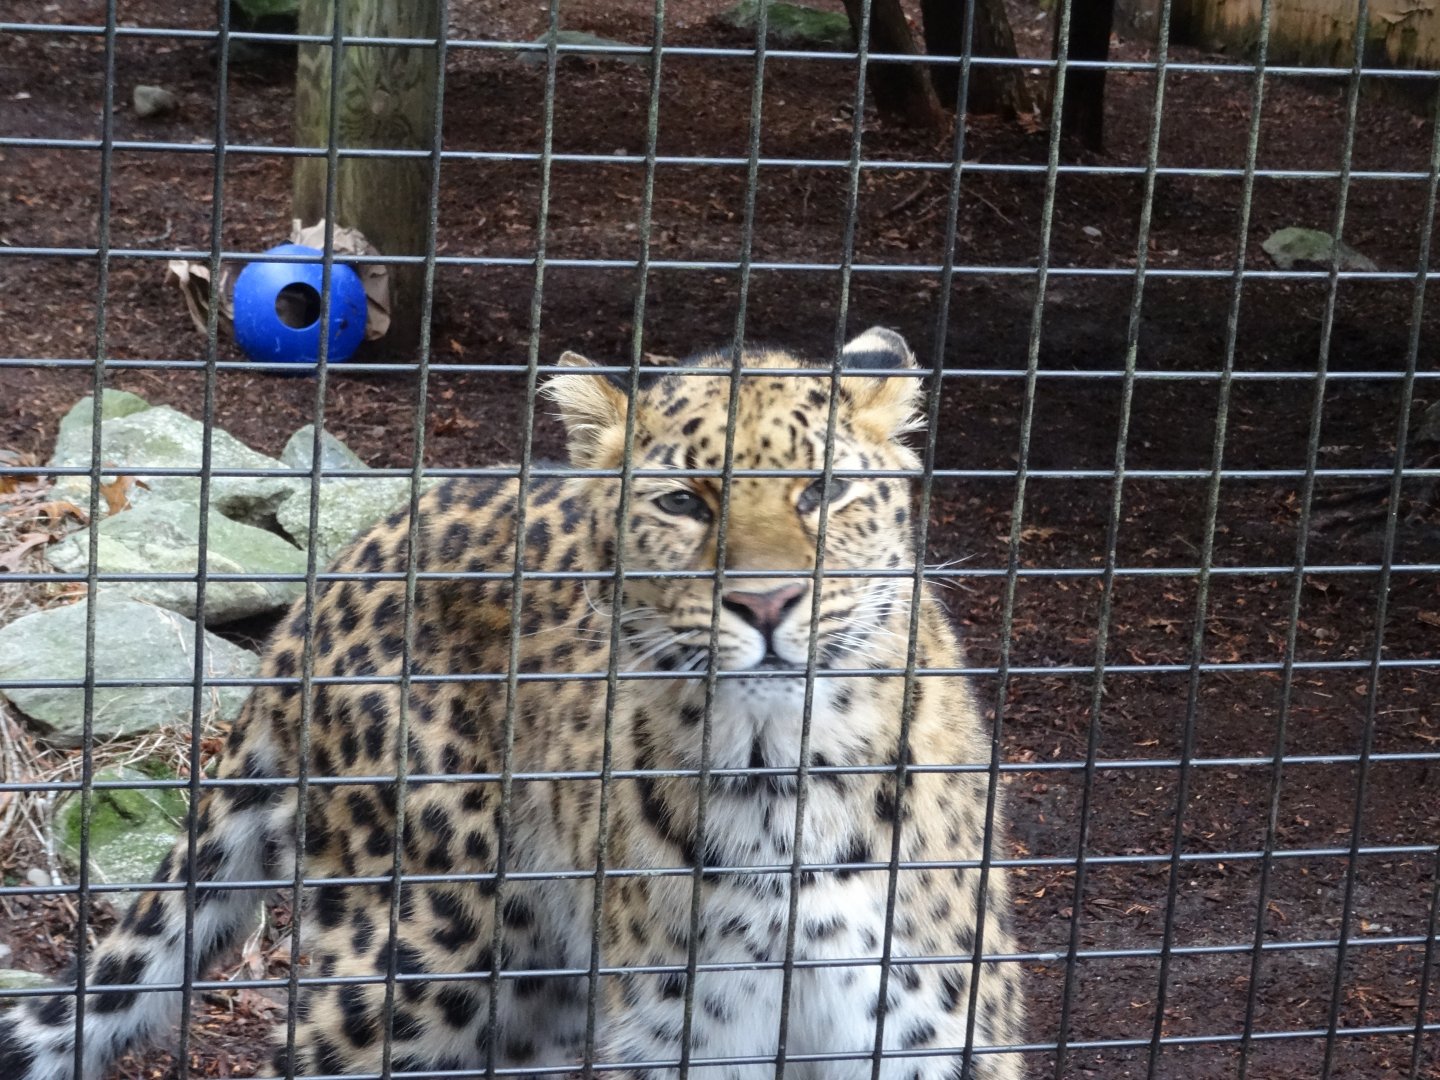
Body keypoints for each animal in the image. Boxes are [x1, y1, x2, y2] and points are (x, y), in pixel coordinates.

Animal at [0, 328, 1025, 1080]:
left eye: (826, 490)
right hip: (421, 956)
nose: (767, 602)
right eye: (683, 502)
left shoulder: (934, 1040)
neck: (783, 773)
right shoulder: (693, 1038)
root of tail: (322, 590)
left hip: (530, 996)